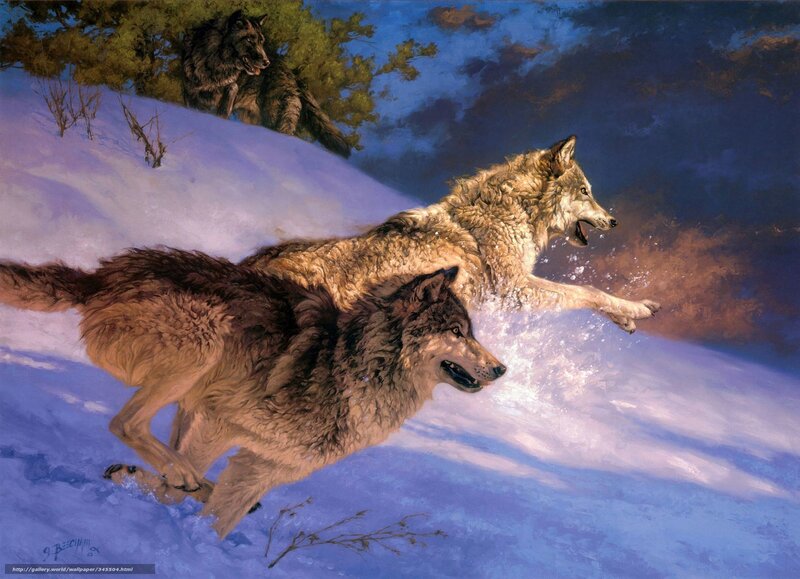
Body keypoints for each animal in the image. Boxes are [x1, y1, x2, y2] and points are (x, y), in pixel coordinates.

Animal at [0, 251, 503, 538]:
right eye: (458, 332)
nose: (501, 369)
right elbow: (177, 494)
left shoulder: (263, 467)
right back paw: (178, 474)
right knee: (127, 424)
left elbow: (220, 518)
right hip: (204, 344)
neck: (352, 367)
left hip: (190, 394)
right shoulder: (220, 421)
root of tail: (101, 276)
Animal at [243, 136, 660, 333]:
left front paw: (628, 317)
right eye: (586, 191)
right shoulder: (515, 290)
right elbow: (587, 291)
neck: (514, 212)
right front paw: (638, 308)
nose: (614, 221)